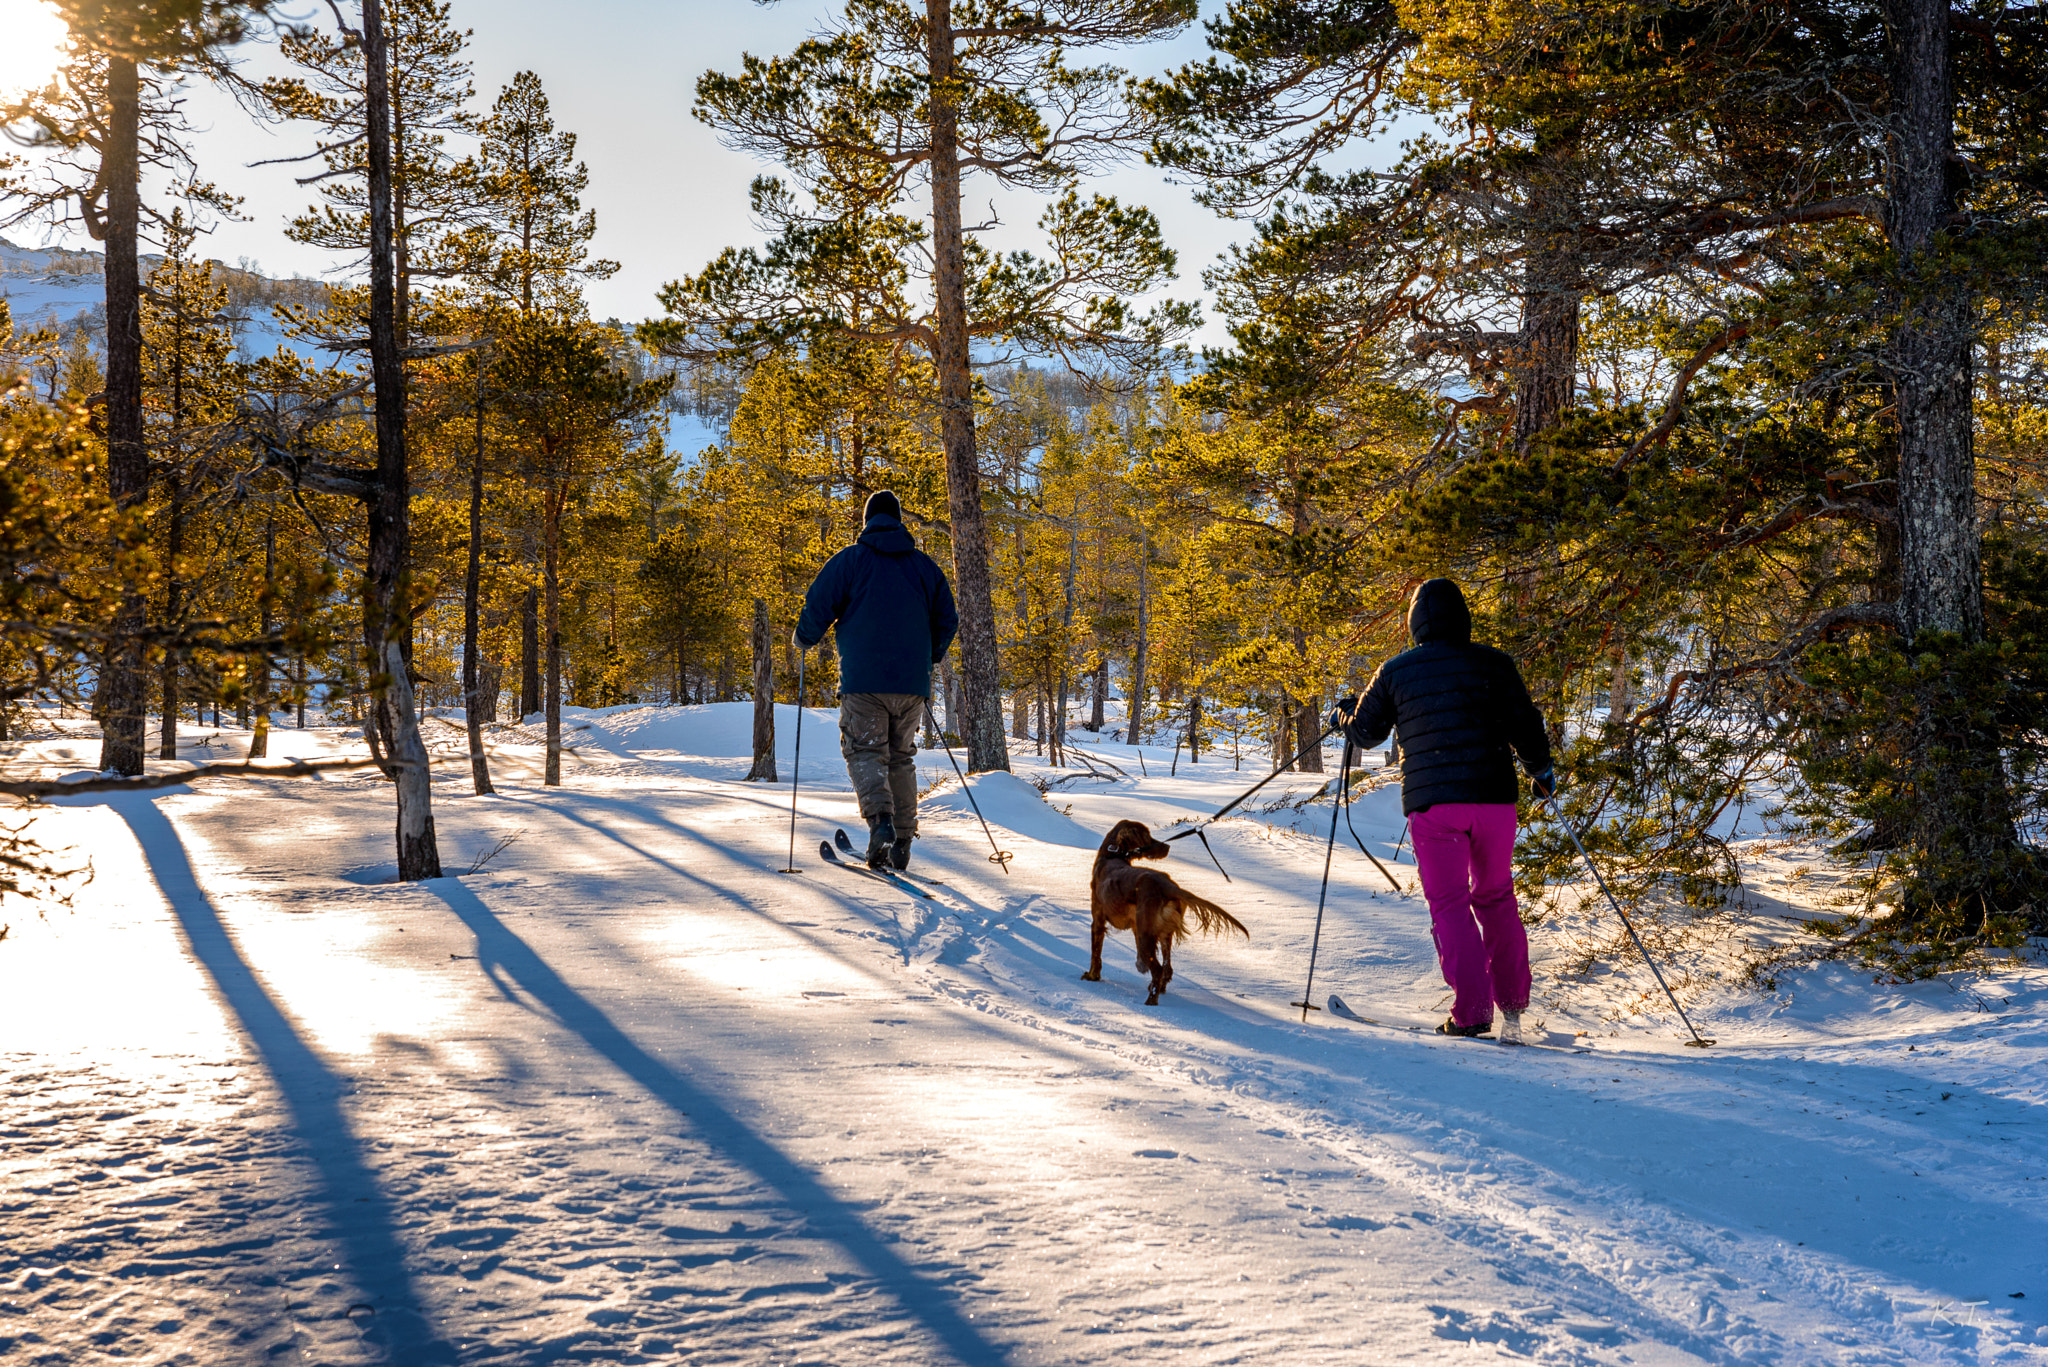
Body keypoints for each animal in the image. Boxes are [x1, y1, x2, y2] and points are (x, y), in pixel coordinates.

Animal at [1081, 823, 1253, 1004]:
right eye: (1146, 835)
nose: (1167, 846)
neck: (1112, 855)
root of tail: (1168, 885)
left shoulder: (1098, 921)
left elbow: (1095, 954)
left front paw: (1092, 976)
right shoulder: (1136, 925)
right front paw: (1140, 966)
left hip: (1146, 935)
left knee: (1158, 969)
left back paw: (1151, 1001)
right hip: (1162, 933)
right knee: (1167, 968)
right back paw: (1158, 989)